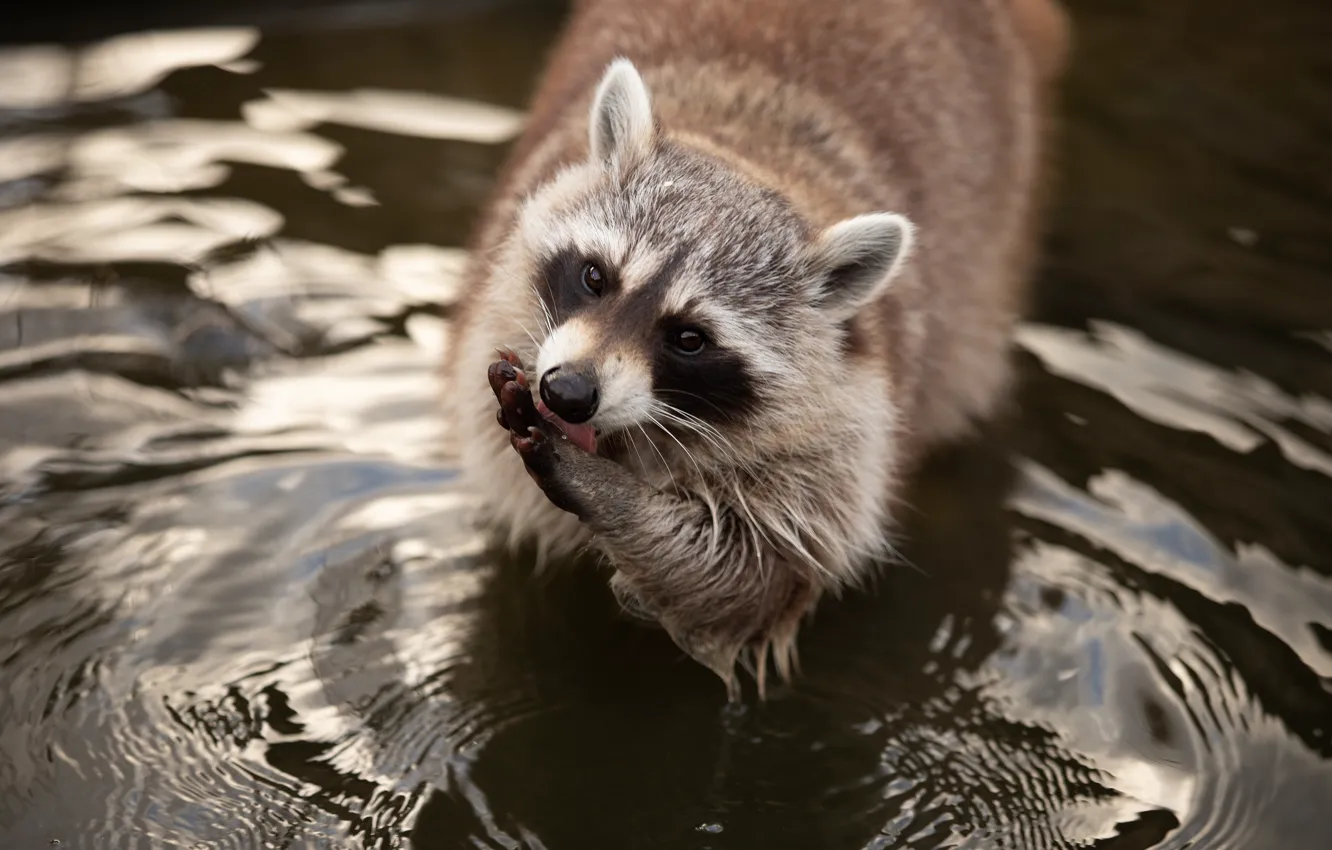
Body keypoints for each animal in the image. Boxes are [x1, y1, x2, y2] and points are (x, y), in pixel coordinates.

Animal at [447, 0, 1069, 696]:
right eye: (595, 277)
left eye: (689, 339)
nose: (568, 393)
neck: (754, 155)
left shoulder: (846, 425)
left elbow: (754, 577)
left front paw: (608, 495)